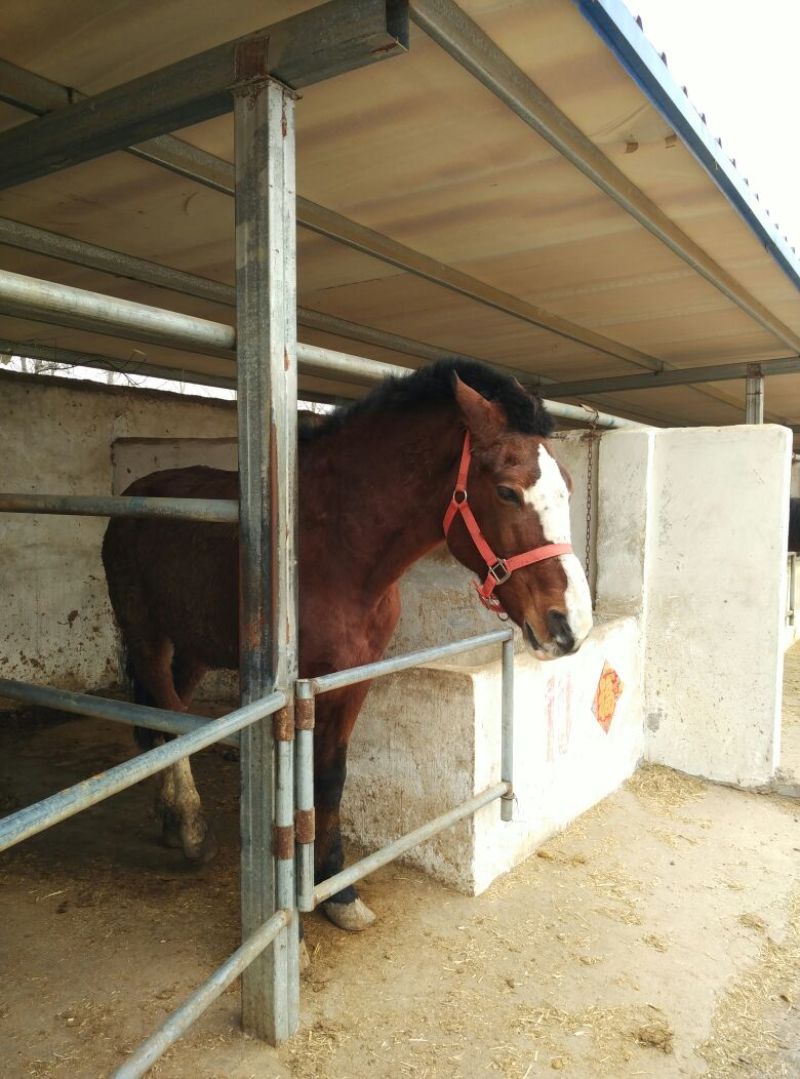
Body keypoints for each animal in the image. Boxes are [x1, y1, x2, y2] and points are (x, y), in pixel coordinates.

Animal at [101, 358, 593, 932]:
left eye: (568, 486)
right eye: (508, 492)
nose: (571, 624)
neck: (338, 549)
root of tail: (134, 496)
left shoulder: (355, 677)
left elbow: (332, 776)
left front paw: (336, 889)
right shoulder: (297, 689)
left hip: (194, 645)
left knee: (166, 711)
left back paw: (168, 816)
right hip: (146, 634)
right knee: (163, 705)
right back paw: (191, 824)